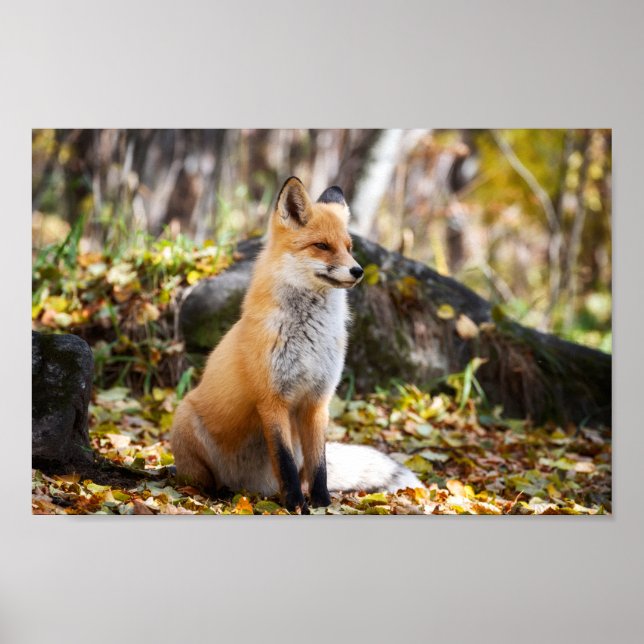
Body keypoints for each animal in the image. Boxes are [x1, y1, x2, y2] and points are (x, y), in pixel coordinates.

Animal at [170, 176, 422, 513]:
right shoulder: (272, 400)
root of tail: (245, 486)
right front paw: (293, 505)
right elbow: (286, 463)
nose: (358, 271)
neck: (308, 337)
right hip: (186, 421)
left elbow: (320, 467)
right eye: (322, 246)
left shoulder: (317, 401)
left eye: (349, 248)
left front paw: (321, 504)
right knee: (201, 480)